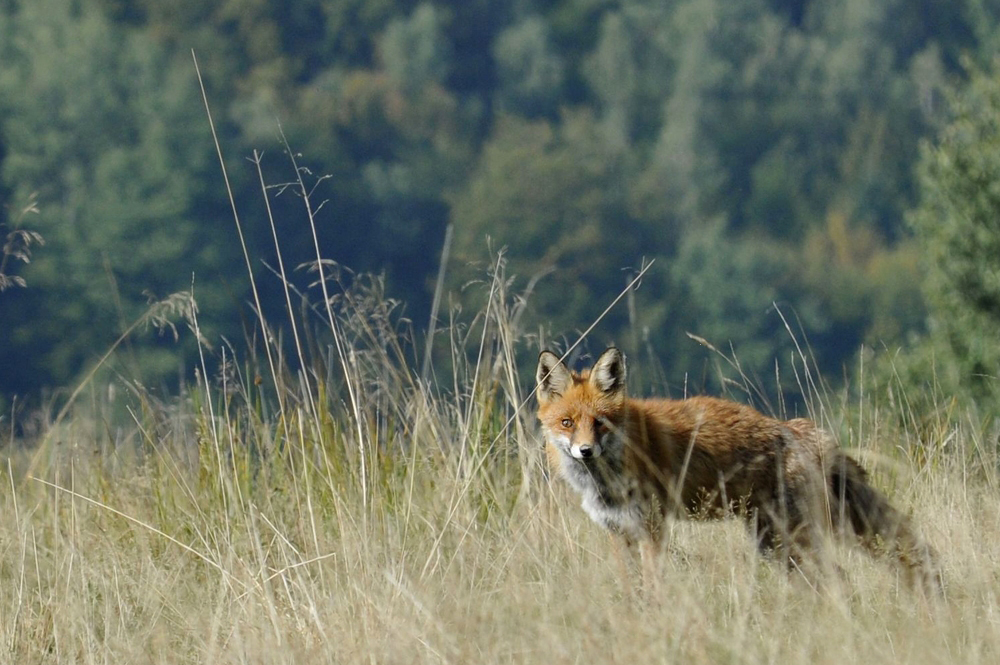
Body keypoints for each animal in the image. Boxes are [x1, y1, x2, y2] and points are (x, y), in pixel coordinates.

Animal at [536, 348, 940, 592]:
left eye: (600, 423)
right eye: (567, 423)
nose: (585, 451)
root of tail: (802, 429)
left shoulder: (652, 528)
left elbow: (654, 588)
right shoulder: (618, 532)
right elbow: (630, 587)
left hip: (788, 539)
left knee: (839, 578)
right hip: (775, 545)